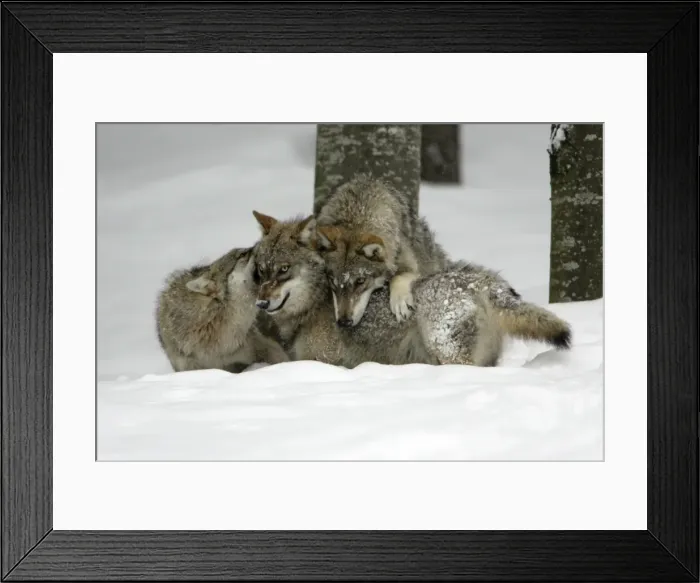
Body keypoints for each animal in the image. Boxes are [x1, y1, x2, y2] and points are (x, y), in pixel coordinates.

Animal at [250, 214, 571, 368]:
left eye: (284, 270)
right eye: (261, 271)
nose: (261, 303)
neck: (313, 305)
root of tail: (482, 279)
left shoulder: (325, 363)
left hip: (447, 353)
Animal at [314, 174, 450, 325]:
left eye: (360, 281)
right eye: (332, 280)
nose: (344, 322)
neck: (356, 214)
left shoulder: (410, 264)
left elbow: (398, 277)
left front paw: (400, 303)